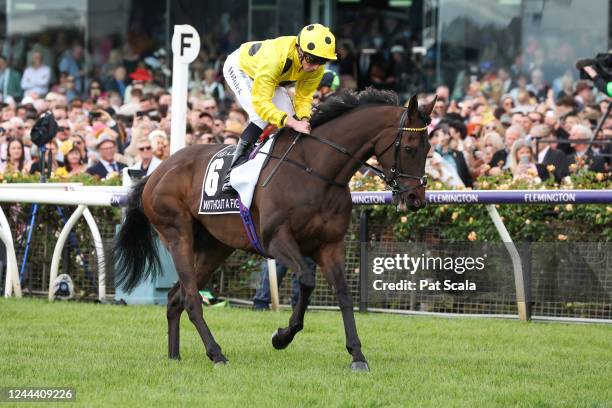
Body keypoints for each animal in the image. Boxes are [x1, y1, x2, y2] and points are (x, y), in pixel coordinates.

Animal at [113, 87, 436, 372]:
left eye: (429, 149)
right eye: (409, 148)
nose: (416, 198)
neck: (317, 171)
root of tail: (156, 172)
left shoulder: (330, 245)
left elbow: (343, 293)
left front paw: (357, 355)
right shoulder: (276, 240)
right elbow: (306, 280)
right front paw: (281, 337)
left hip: (216, 246)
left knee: (174, 297)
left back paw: (174, 355)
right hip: (177, 233)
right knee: (191, 298)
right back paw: (216, 354)